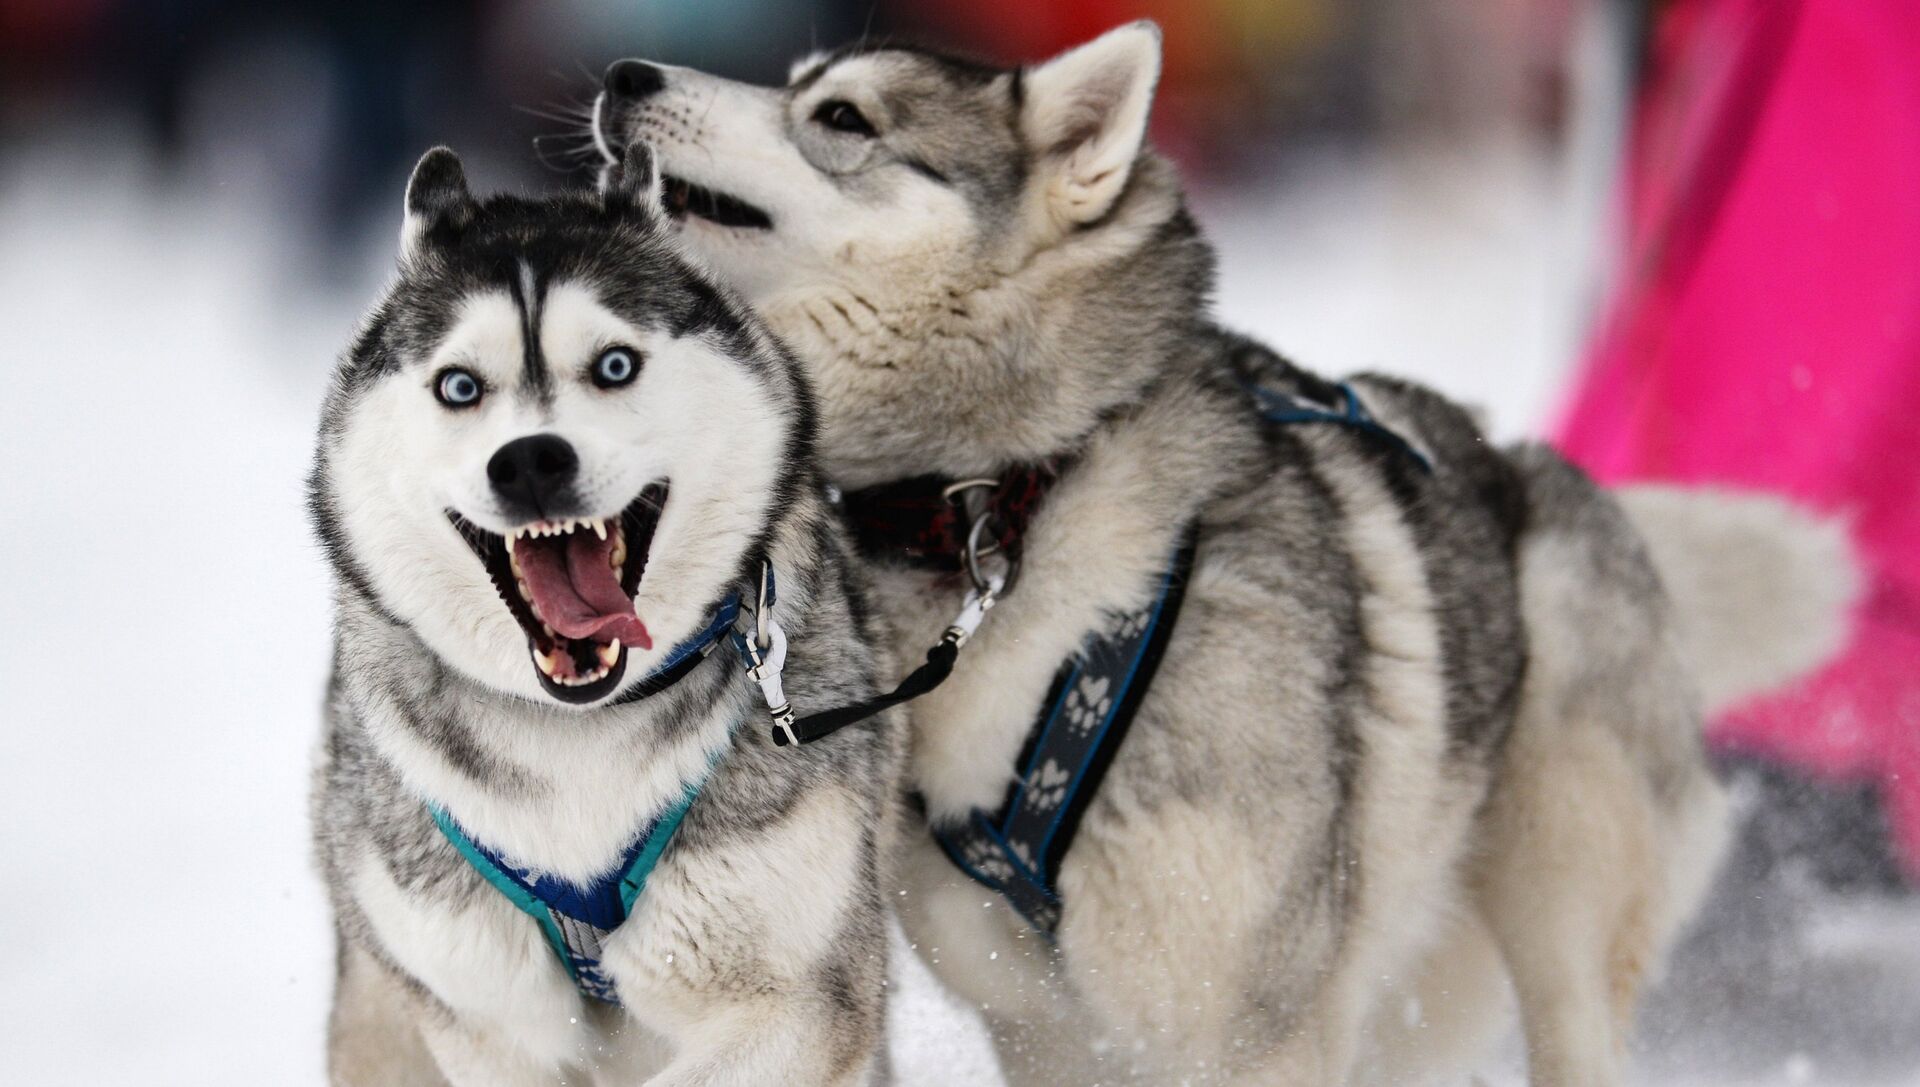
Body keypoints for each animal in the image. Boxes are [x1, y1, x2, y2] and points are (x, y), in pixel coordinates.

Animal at [311, 146, 902, 1087]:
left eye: (615, 365)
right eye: (459, 386)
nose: (529, 462)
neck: (575, 734)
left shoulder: (804, 1000)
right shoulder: (484, 1024)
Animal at [599, 25, 1858, 1087]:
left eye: (842, 117)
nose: (624, 76)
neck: (1005, 501)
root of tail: (1542, 471)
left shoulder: (1255, 1027)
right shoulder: (1043, 1026)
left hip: (1561, 908)